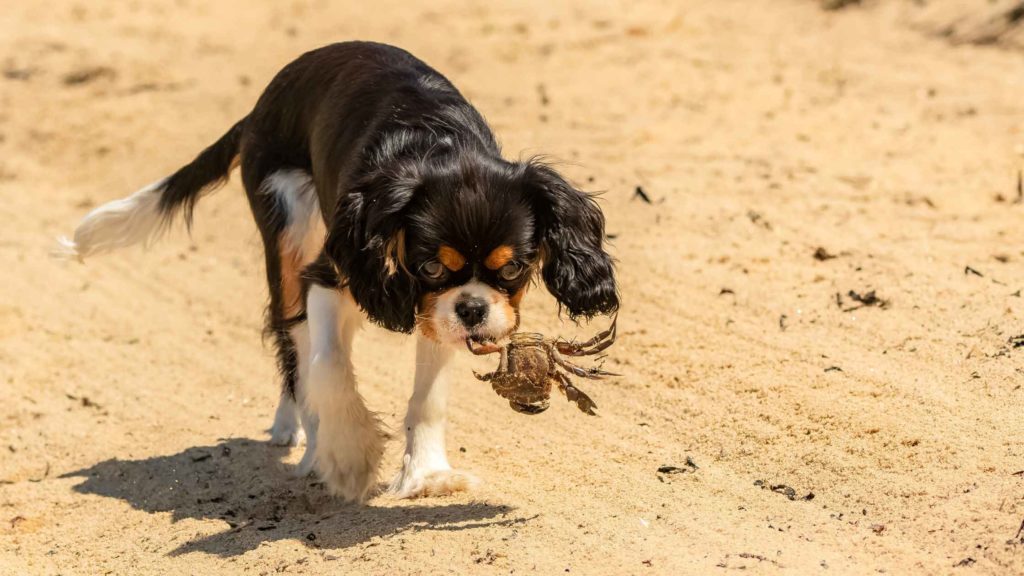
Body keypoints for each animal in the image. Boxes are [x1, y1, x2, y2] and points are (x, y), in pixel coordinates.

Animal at [59, 41, 618, 498]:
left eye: (514, 269)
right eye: (431, 267)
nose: (474, 309)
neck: (436, 149)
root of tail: (260, 107)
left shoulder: (435, 316)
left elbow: (429, 396)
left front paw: (427, 475)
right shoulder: (332, 274)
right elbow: (327, 365)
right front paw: (350, 455)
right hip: (289, 232)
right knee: (295, 346)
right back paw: (309, 441)